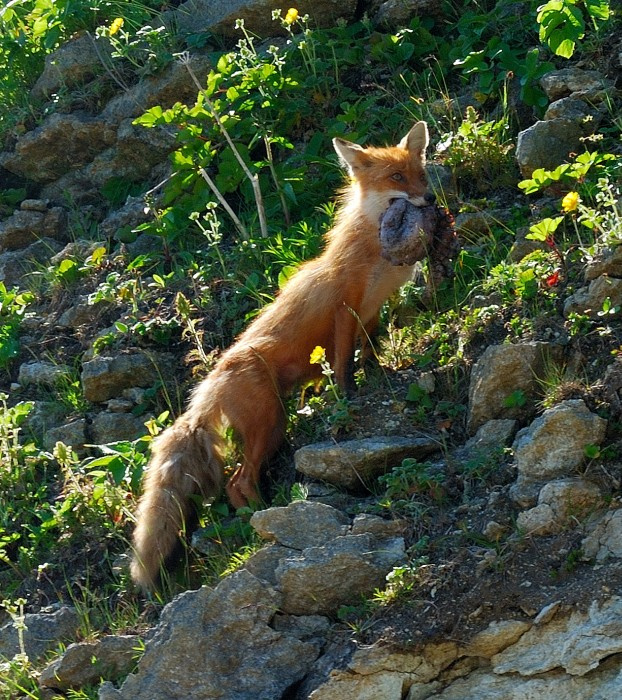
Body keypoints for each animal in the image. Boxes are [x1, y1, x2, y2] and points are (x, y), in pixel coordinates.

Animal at [130, 121, 436, 589]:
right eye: (397, 178)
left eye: (420, 172)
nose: (430, 199)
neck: (372, 253)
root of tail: (203, 391)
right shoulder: (344, 311)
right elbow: (344, 363)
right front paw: (348, 395)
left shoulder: (372, 312)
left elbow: (370, 352)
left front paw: (381, 373)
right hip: (267, 422)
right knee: (237, 484)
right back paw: (263, 518)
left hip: (272, 428)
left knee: (239, 482)